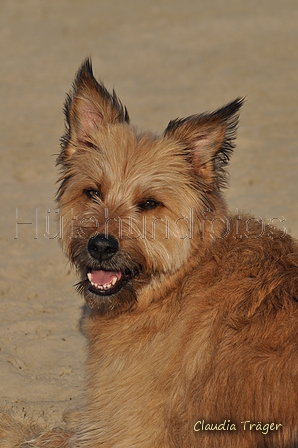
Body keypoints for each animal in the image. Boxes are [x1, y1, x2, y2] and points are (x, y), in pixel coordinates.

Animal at [0, 60, 298, 448]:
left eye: (149, 203)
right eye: (92, 192)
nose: (101, 246)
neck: (177, 282)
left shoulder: (126, 433)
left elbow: (33, 435)